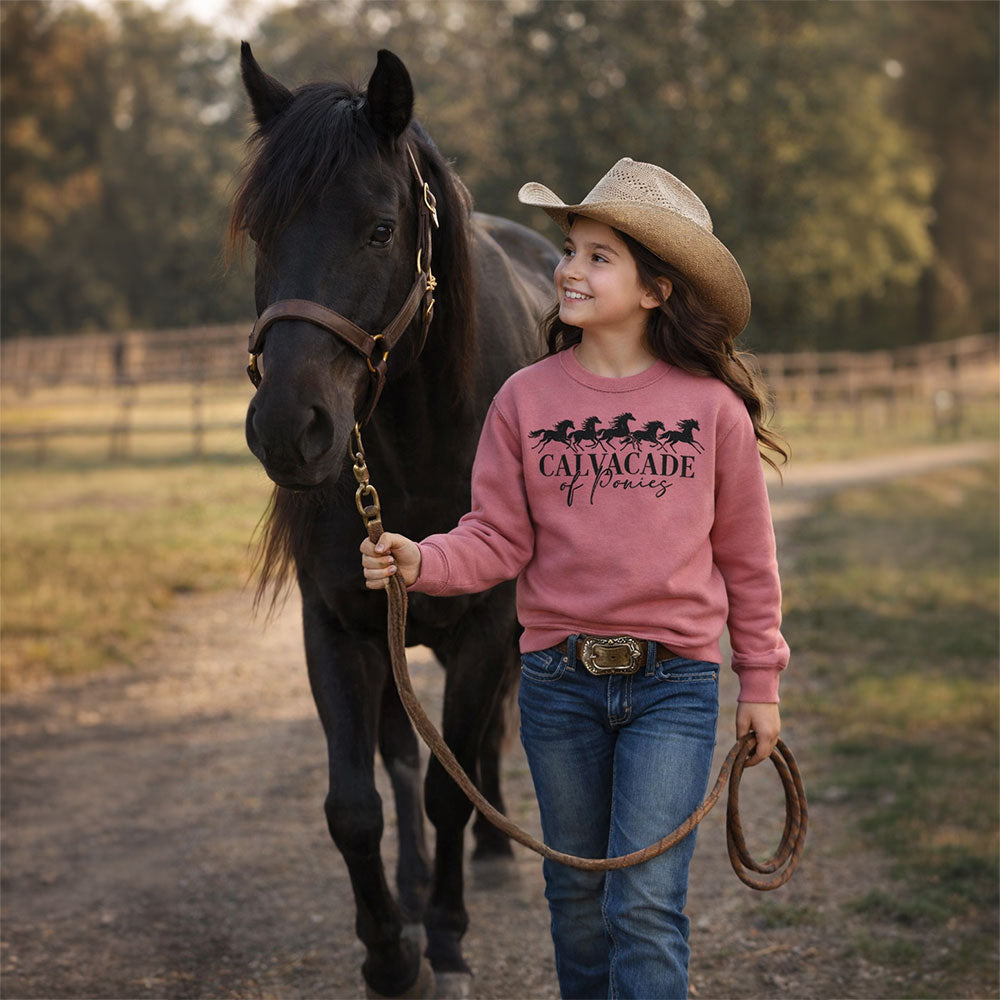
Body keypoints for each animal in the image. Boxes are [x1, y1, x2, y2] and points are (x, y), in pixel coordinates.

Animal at [230, 45, 558, 998]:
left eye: (380, 230)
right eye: (262, 233)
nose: (288, 428)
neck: (418, 446)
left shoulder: (488, 624)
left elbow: (455, 781)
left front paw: (446, 941)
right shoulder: (340, 624)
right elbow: (355, 803)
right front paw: (388, 951)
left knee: (477, 747)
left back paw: (487, 860)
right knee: (405, 756)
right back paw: (411, 891)